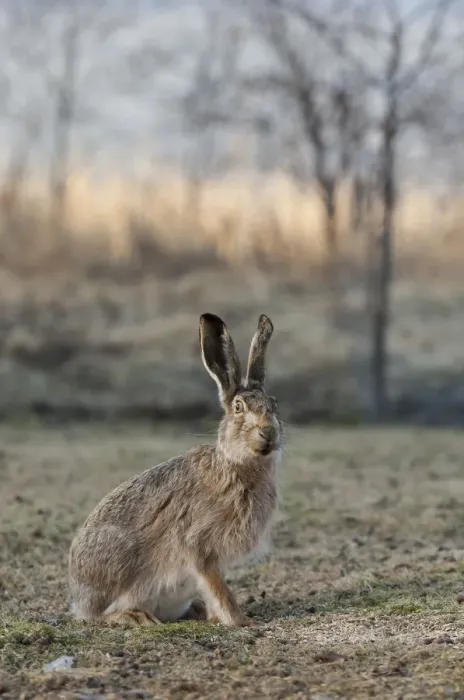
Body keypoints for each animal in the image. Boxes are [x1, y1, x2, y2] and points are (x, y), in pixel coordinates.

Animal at [69, 313, 282, 627]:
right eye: (238, 407)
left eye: (274, 405)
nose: (268, 433)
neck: (236, 464)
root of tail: (79, 598)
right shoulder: (198, 545)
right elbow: (218, 587)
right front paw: (240, 621)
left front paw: (220, 618)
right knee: (99, 615)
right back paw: (135, 617)